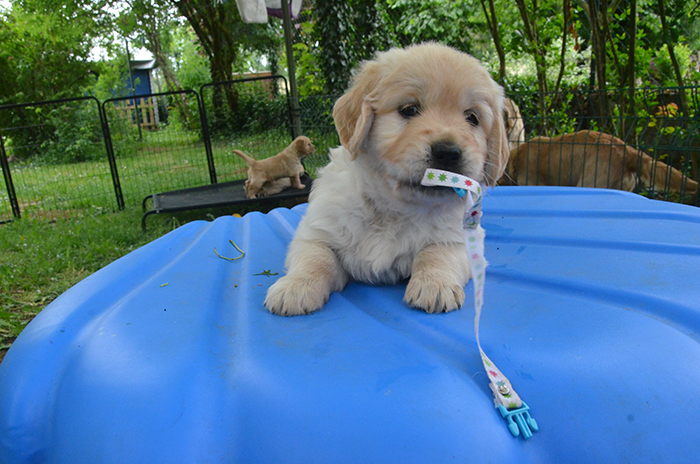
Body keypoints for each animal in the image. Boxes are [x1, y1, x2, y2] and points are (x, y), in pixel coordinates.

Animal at [264, 43, 510, 316]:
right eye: (409, 109)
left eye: (472, 118)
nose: (448, 153)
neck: (393, 210)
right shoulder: (317, 230)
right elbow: (316, 256)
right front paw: (296, 286)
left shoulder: (460, 239)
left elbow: (436, 254)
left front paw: (435, 285)